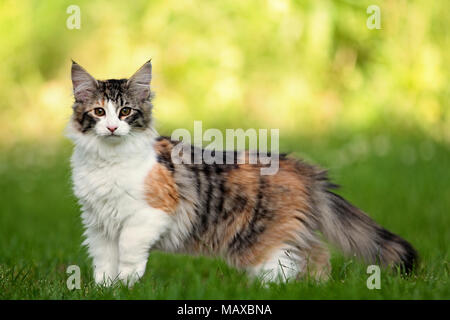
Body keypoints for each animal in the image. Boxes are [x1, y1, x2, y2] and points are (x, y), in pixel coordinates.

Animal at [67, 60, 418, 288]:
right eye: (99, 112)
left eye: (126, 112)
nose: (112, 127)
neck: (108, 162)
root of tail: (297, 165)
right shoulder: (98, 224)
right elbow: (103, 261)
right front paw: (106, 289)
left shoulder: (149, 214)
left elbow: (128, 252)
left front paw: (126, 284)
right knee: (316, 254)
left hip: (261, 240)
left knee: (293, 263)